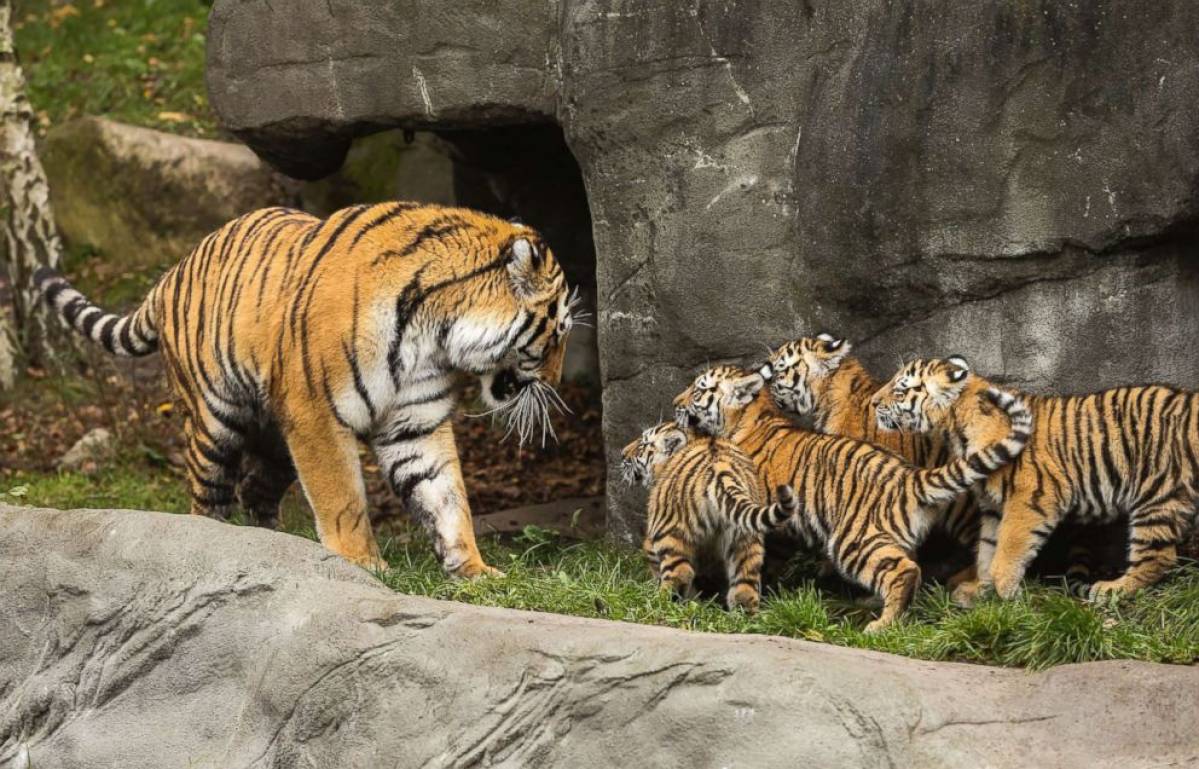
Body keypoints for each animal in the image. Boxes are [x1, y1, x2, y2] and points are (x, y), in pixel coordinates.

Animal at [35, 201, 577, 573]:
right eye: (560, 331)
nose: (556, 384)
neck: (437, 332)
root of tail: (170, 274)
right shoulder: (316, 414)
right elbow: (343, 498)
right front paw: (362, 564)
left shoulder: (415, 422)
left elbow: (444, 495)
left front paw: (474, 569)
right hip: (215, 421)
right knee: (208, 496)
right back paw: (217, 542)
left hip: (276, 441)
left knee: (255, 489)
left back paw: (277, 548)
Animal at [872, 357, 1199, 602]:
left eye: (900, 390)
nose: (874, 402)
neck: (956, 429)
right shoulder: (993, 506)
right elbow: (987, 548)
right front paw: (979, 589)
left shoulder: (1031, 497)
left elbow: (1009, 548)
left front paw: (1005, 591)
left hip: (1157, 494)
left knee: (1157, 558)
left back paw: (1112, 589)